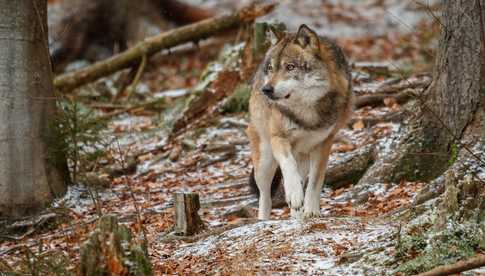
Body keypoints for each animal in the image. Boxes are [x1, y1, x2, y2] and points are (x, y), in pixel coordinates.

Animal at [246, 23, 352, 219]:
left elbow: (315, 181)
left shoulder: (324, 144)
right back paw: (264, 219)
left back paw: (297, 216)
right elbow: (288, 166)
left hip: (302, 156)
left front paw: (311, 211)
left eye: (290, 67)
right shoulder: (278, 138)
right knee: (265, 195)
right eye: (271, 68)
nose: (266, 89)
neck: (305, 113)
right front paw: (294, 194)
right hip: (264, 161)